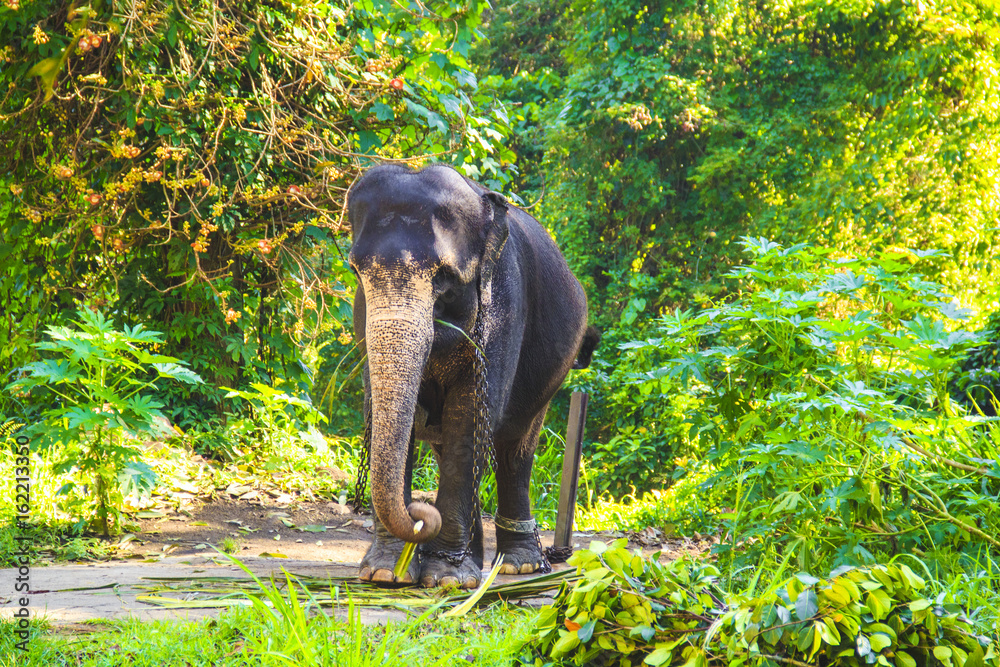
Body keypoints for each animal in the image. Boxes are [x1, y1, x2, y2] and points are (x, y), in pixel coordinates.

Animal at [348, 163, 598, 589]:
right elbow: (386, 416)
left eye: (444, 277)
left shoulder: (504, 309)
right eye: (355, 270)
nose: (419, 514)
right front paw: (384, 574)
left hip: (553, 376)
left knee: (515, 448)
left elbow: (469, 418)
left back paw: (519, 565)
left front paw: (447, 579)